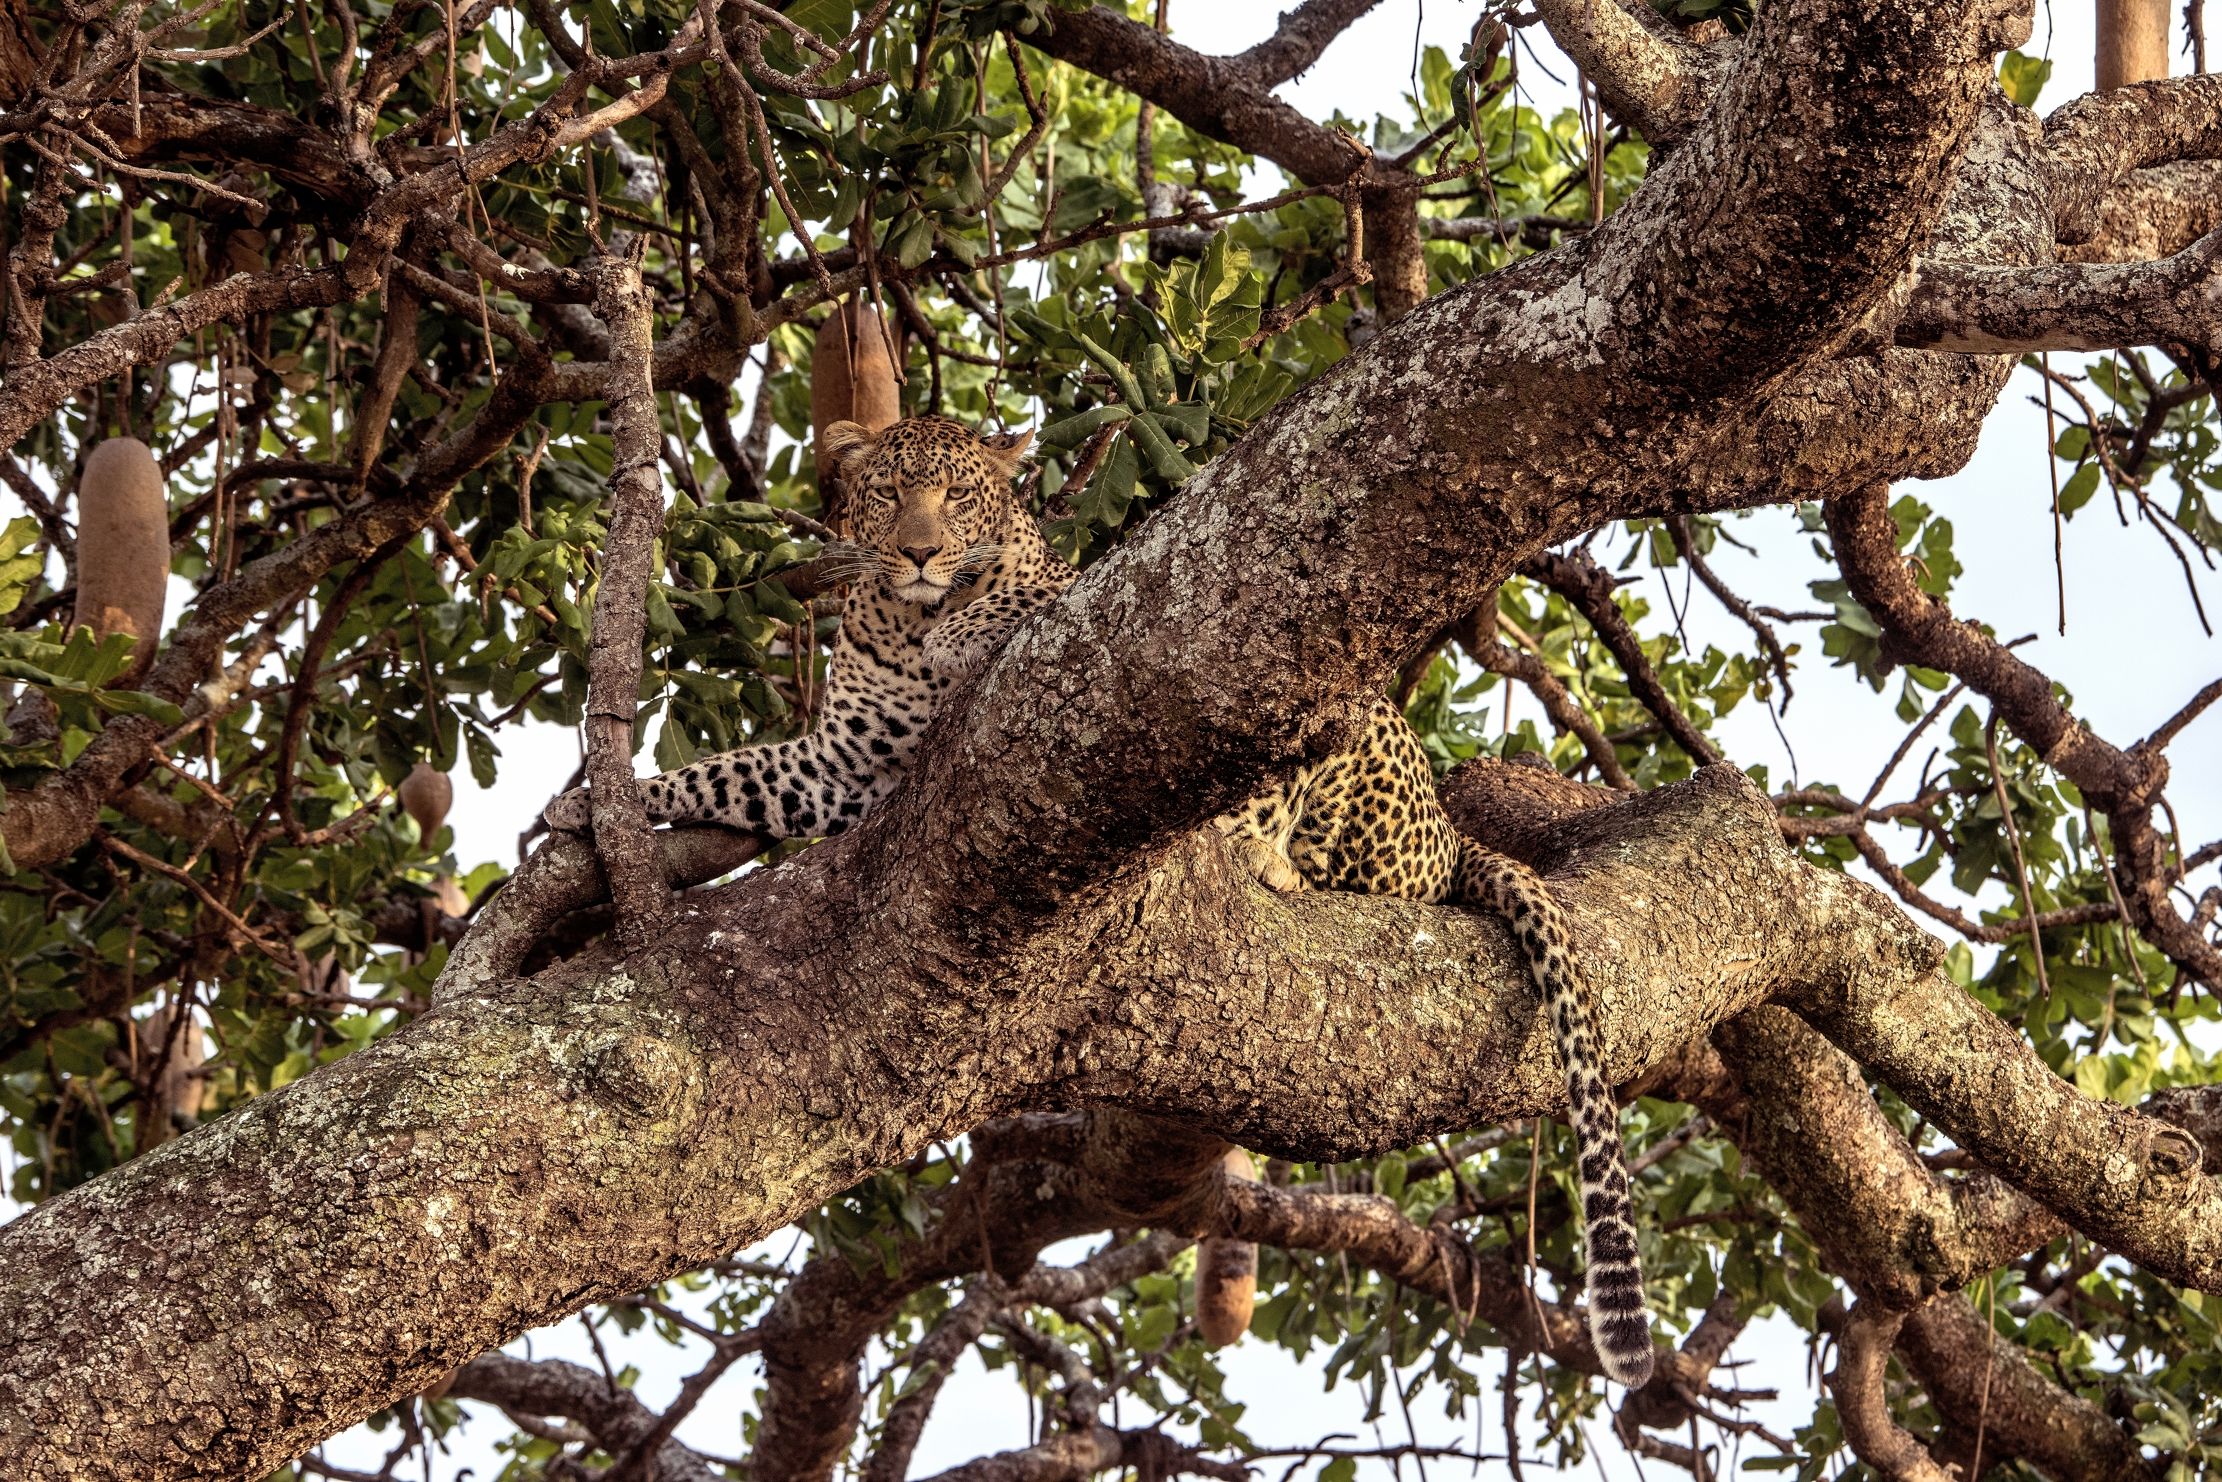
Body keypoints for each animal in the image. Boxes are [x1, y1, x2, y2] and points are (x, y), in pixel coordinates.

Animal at [542, 412, 1654, 1386]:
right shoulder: (840, 763)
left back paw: (1273, 861)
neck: (908, 621)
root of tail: (1443, 822)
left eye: (957, 496)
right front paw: (592, 804)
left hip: (1341, 729)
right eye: (892, 493)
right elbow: (729, 769)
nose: (918, 553)